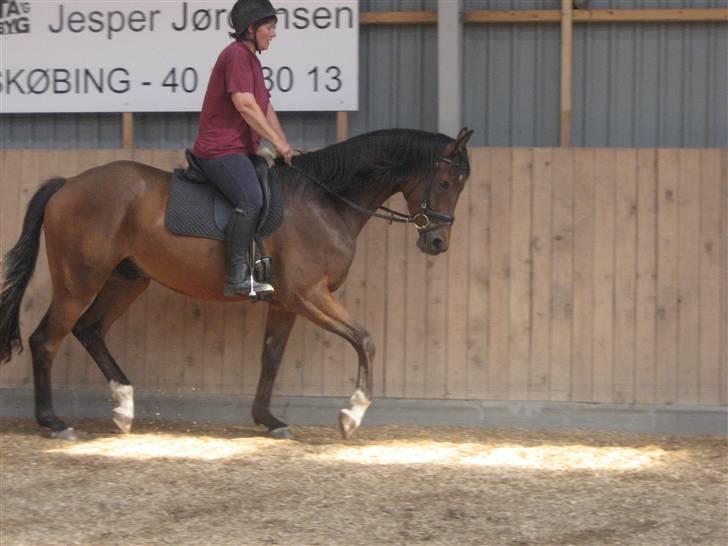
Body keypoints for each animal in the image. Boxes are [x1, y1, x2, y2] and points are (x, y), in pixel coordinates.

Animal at [0, 127, 473, 440]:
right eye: (444, 181)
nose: (437, 242)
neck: (325, 200)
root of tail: (67, 185)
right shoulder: (308, 294)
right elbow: (365, 339)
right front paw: (351, 414)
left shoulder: (285, 303)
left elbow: (271, 357)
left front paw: (269, 420)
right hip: (78, 282)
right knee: (46, 340)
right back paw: (54, 423)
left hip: (127, 280)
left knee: (90, 329)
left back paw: (123, 407)